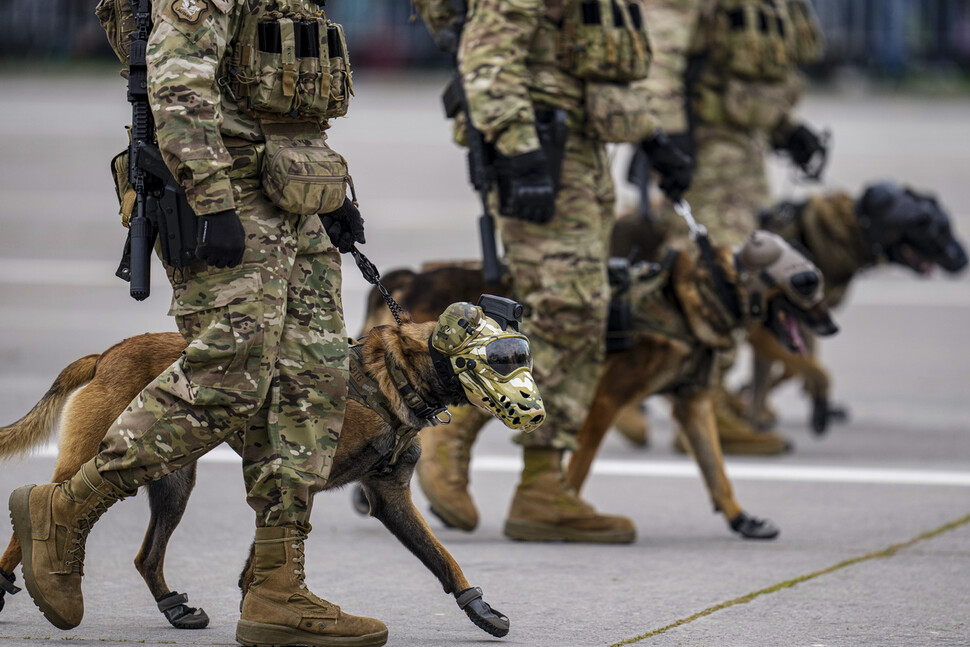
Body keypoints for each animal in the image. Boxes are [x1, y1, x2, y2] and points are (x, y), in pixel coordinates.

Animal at [0, 312, 520, 636]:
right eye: (500, 356)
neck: (385, 382)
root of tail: (106, 355)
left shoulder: (388, 499)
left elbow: (442, 558)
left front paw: (479, 606)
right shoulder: (299, 481)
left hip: (173, 481)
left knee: (146, 556)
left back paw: (174, 608)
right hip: (102, 457)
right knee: (44, 509)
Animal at [360, 233, 836, 540]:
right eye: (805, 285)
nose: (832, 325)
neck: (684, 299)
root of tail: (409, 276)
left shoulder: (693, 405)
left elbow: (716, 470)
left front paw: (741, 519)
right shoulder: (605, 401)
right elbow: (581, 464)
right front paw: (562, 511)